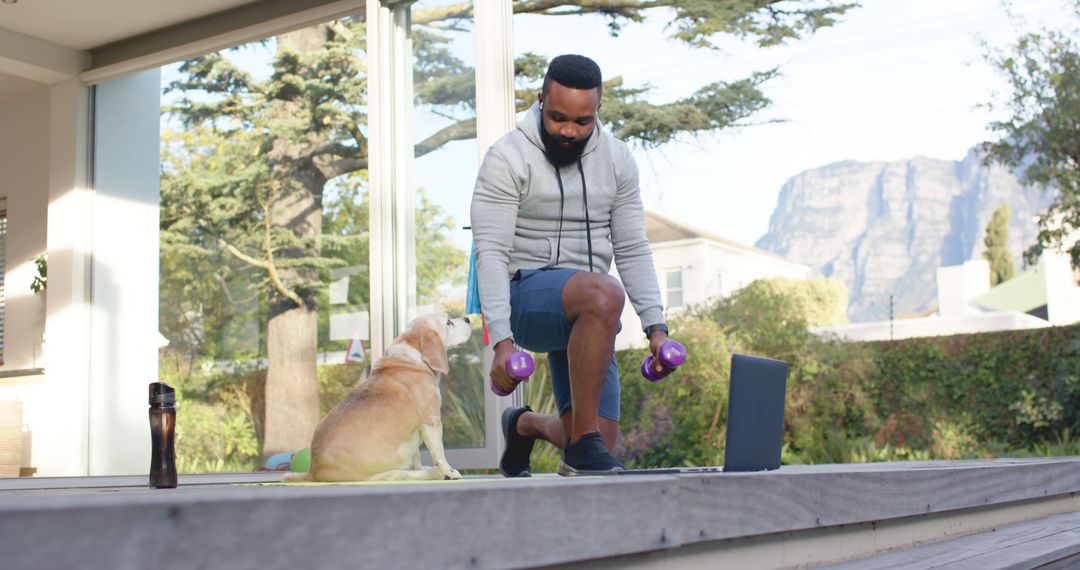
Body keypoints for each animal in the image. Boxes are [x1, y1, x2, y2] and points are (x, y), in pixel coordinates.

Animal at [285, 313, 470, 483]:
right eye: (449, 322)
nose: (468, 318)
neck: (413, 355)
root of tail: (313, 470)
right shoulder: (431, 421)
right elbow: (439, 453)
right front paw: (448, 472)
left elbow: (417, 456)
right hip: (387, 471)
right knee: (403, 473)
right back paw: (433, 473)